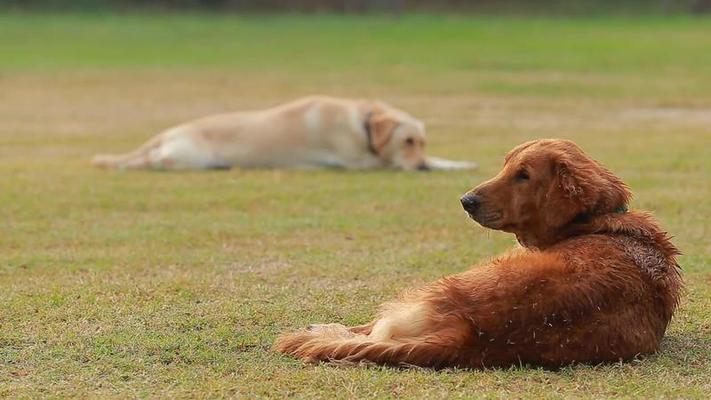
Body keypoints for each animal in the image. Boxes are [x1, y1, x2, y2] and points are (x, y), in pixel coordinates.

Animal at [274, 140, 684, 368]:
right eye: (505, 165)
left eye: (524, 175)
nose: (465, 200)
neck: (594, 221)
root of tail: (467, 331)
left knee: (371, 332)